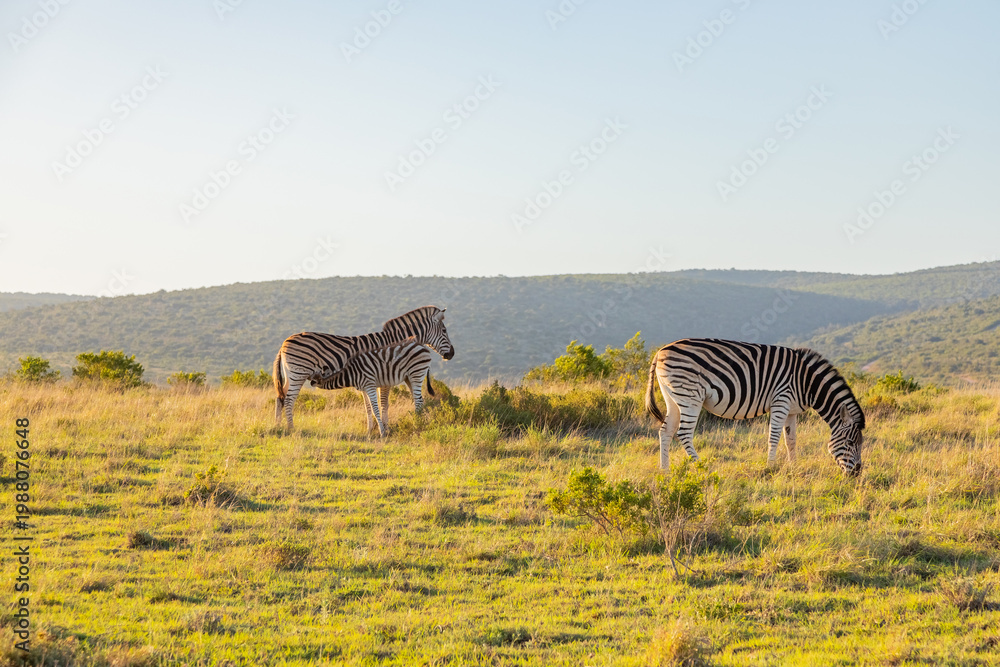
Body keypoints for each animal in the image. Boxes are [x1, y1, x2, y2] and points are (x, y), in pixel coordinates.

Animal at [273, 306, 454, 431]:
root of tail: (283, 343)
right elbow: (383, 403)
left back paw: (278, 426)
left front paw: (374, 428)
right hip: (298, 373)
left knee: (280, 397)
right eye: (444, 330)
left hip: (290, 375)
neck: (395, 341)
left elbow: (370, 405)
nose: (451, 354)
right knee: (289, 400)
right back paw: (291, 428)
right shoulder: (383, 375)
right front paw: (385, 427)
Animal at [645, 338, 865, 475]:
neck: (806, 382)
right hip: (691, 396)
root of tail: (661, 351)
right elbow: (774, 438)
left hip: (673, 397)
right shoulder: (781, 400)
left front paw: (793, 467)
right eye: (849, 443)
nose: (857, 473)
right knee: (683, 433)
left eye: (860, 444)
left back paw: (665, 470)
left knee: (666, 431)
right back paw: (702, 467)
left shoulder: (792, 411)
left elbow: (791, 440)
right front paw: (771, 467)